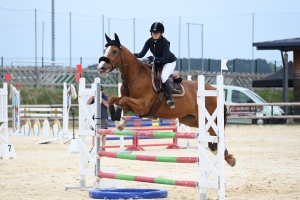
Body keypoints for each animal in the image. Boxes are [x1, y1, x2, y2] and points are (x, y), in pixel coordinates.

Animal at [97, 33, 236, 167]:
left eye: (114, 51)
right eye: (104, 50)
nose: (101, 68)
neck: (134, 76)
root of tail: (213, 89)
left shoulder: (143, 106)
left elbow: (123, 100)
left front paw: (119, 121)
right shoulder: (130, 105)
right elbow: (114, 99)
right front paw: (119, 121)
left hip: (210, 119)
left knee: (217, 134)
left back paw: (228, 158)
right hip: (190, 119)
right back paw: (228, 157)